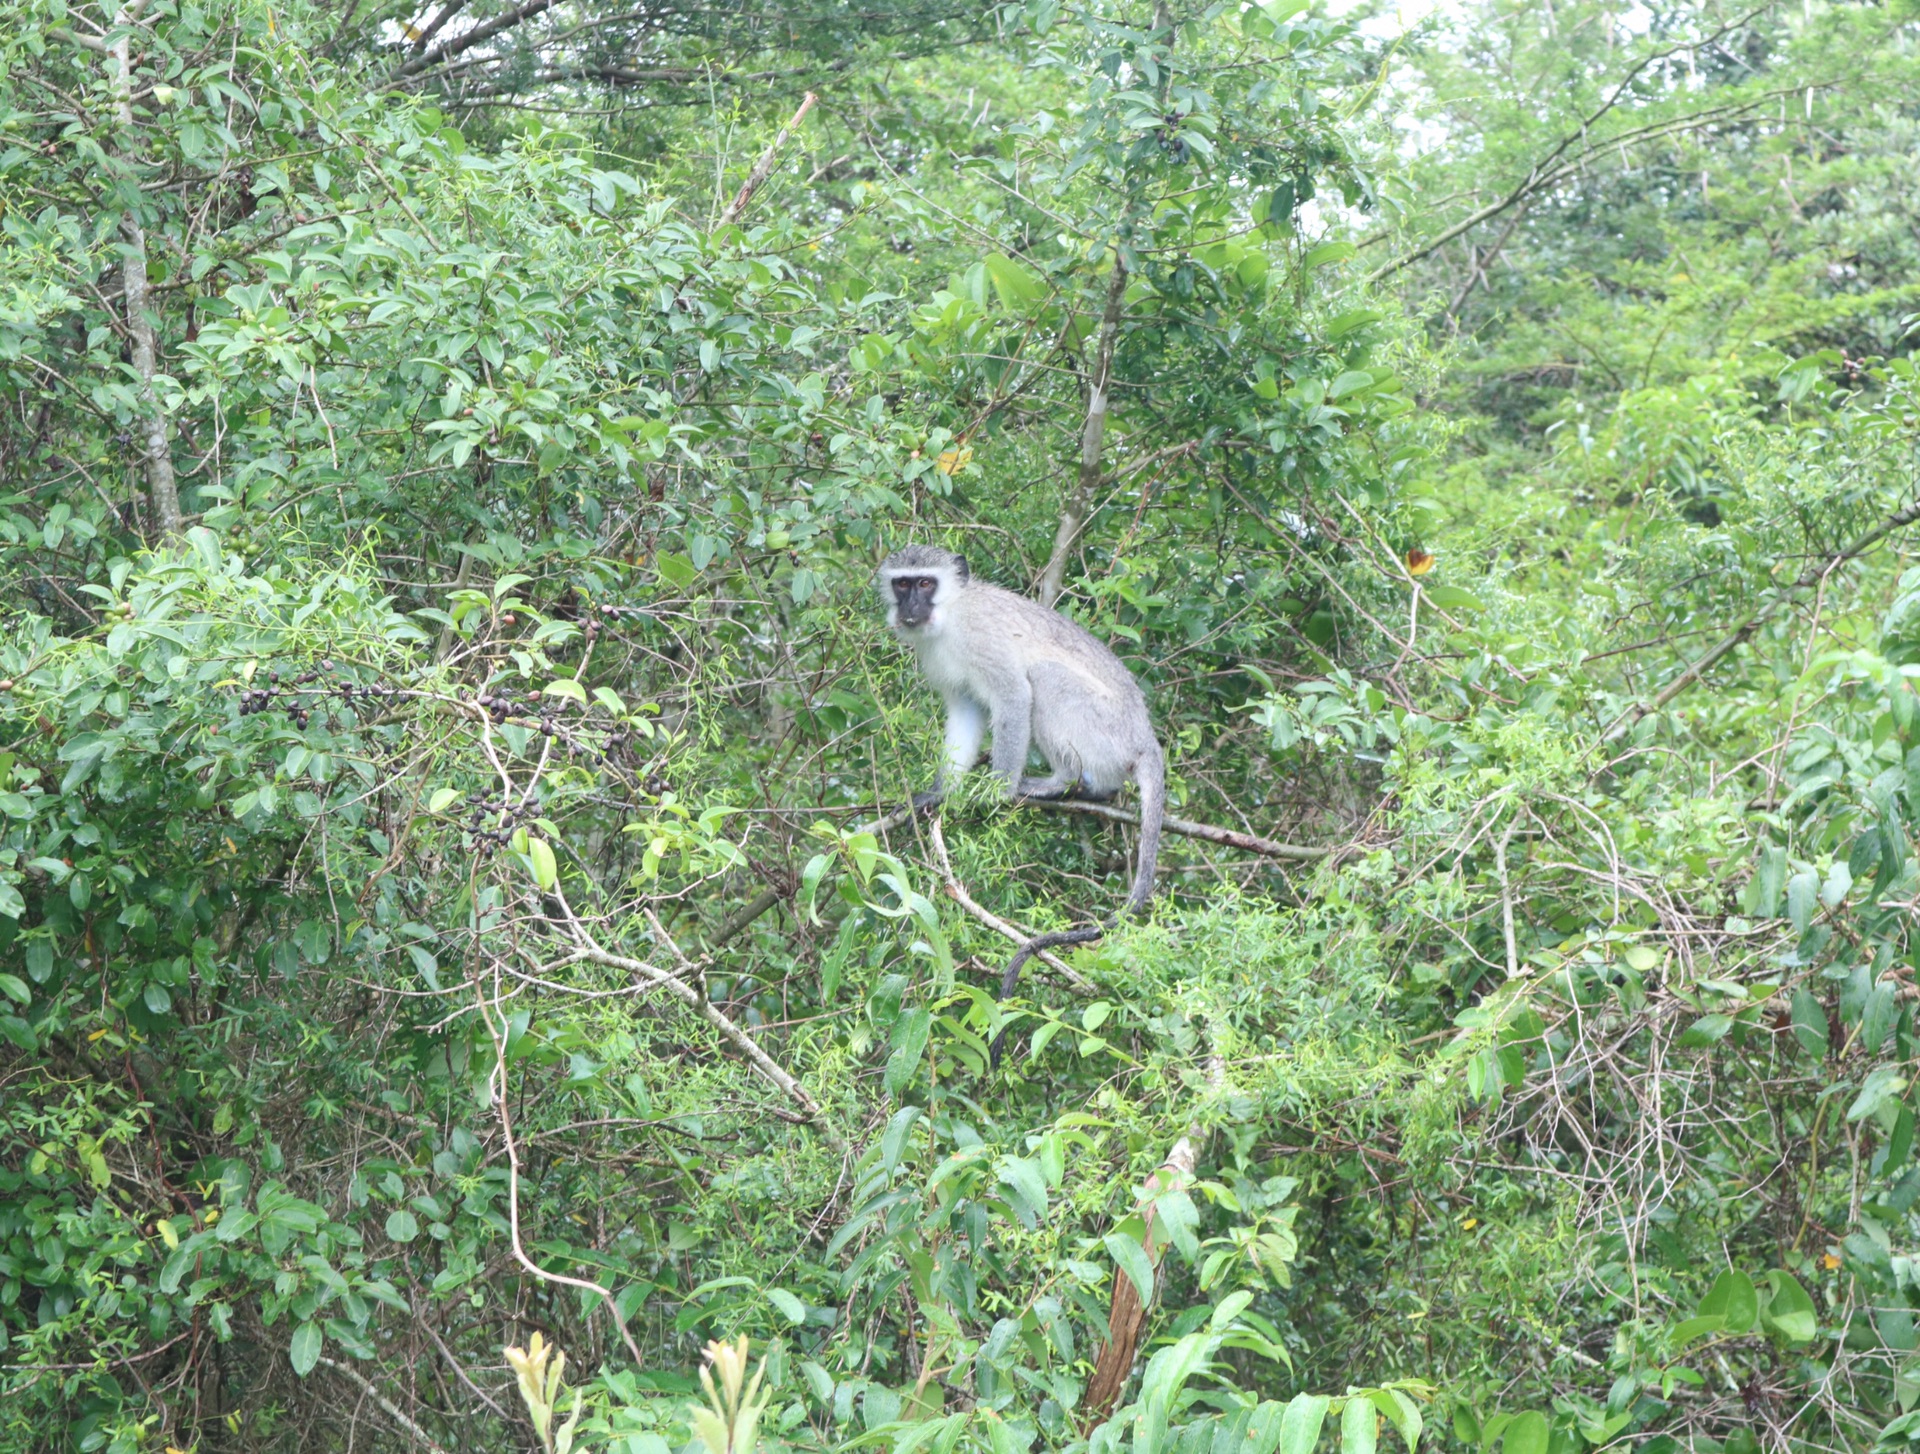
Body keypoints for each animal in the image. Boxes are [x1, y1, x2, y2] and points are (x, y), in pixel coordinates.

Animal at [879, 545, 1159, 1067]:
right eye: (902, 584)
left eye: (926, 583)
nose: (910, 608)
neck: (951, 616)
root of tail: (1145, 741)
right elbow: (965, 712)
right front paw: (940, 792)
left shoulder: (983, 643)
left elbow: (1012, 697)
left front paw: (995, 791)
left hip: (1101, 731)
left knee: (1042, 679)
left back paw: (1061, 784)